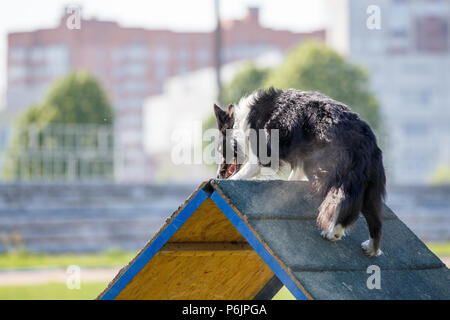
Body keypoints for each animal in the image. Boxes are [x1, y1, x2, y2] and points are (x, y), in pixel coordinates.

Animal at [214, 88, 386, 258]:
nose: (218, 175)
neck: (242, 122)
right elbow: (293, 175)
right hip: (370, 186)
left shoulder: (263, 157)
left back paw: (332, 232)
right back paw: (371, 248)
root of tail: (365, 138)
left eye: (220, 150)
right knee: (375, 220)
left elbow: (242, 174)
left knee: (340, 201)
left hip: (331, 171)